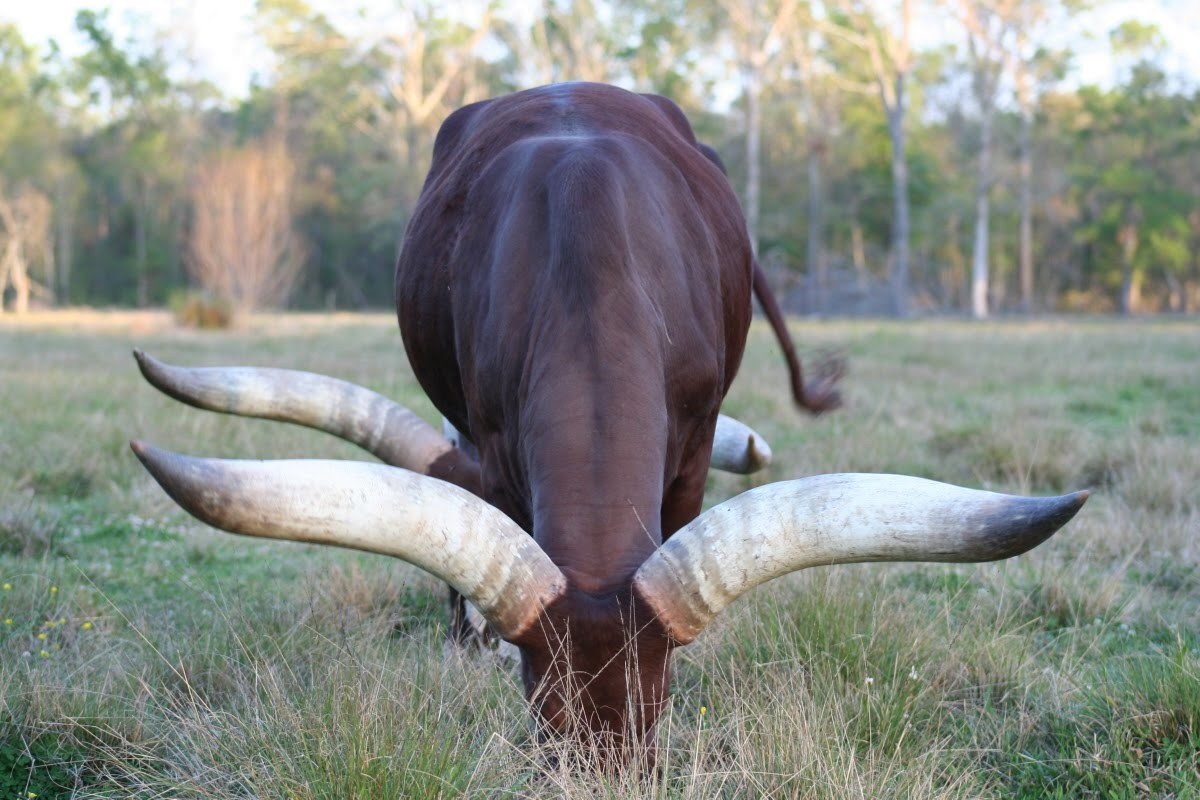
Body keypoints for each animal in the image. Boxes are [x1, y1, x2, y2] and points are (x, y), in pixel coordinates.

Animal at [131, 84, 1089, 762]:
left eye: (656, 705)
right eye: (544, 715)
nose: (466, 644)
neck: (587, 266)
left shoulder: (693, 443)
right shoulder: (498, 449)